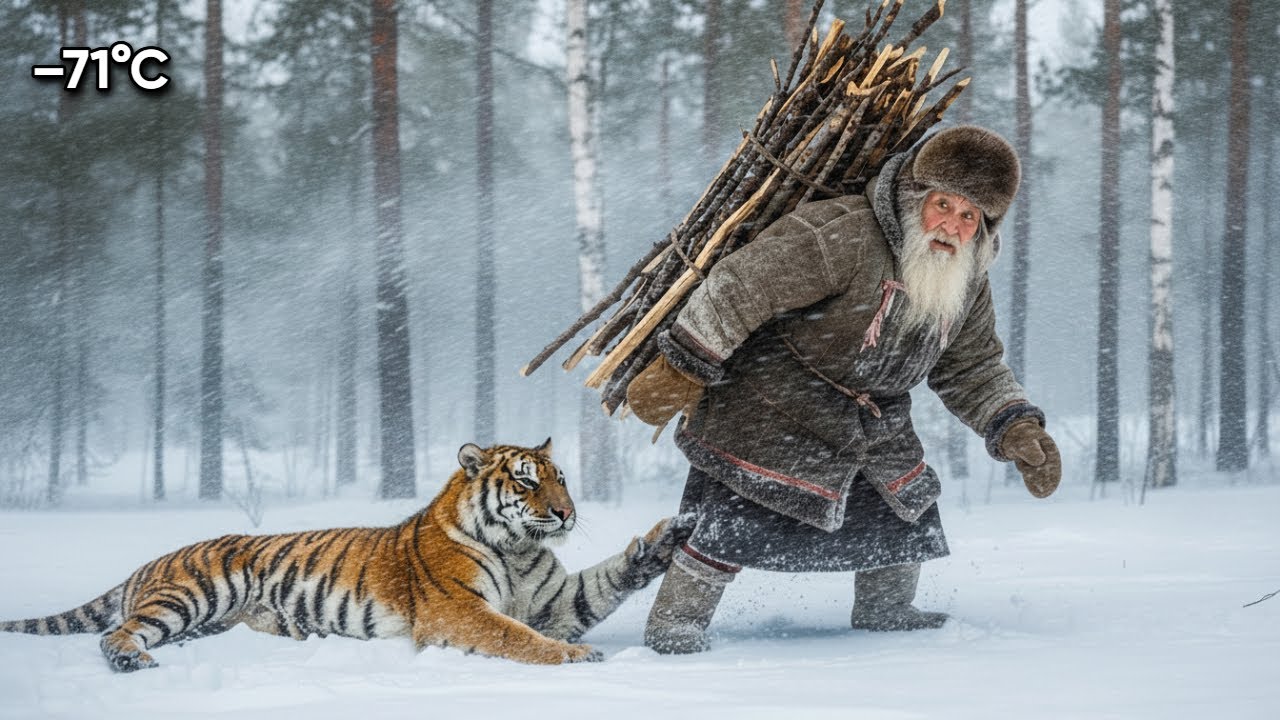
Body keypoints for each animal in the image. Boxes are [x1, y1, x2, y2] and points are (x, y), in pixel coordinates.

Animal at [0, 439, 693, 671]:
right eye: (526, 482)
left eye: (561, 479)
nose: (567, 513)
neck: (520, 549)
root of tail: (147, 563)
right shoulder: (457, 611)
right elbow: (514, 636)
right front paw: (575, 657)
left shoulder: (554, 600)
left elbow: (602, 582)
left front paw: (662, 540)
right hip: (192, 592)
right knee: (116, 632)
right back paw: (129, 662)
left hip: (207, 617)